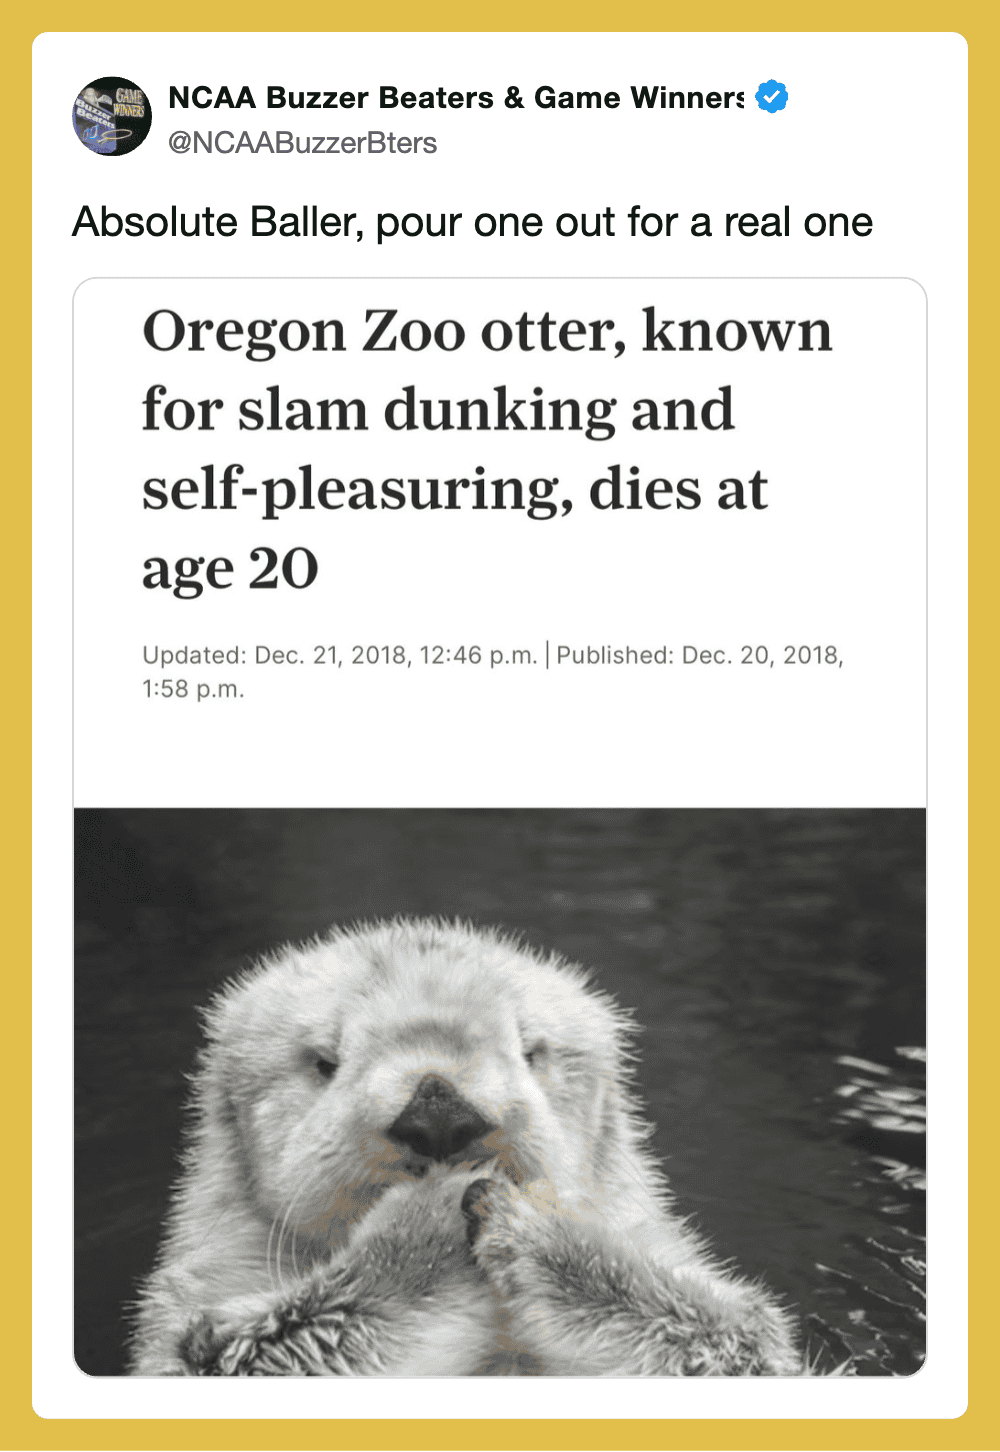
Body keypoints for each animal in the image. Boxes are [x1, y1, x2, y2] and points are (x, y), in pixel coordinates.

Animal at [130, 919, 801, 1376]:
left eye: (531, 1049)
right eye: (324, 1061)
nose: (438, 1112)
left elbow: (742, 1341)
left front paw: (539, 1234)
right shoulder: (195, 1300)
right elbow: (228, 1350)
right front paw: (423, 1235)